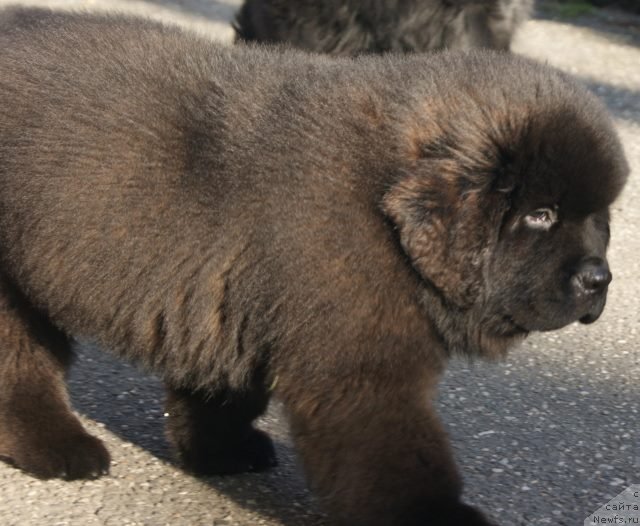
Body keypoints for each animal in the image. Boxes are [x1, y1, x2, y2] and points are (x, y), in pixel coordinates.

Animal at [0, 5, 632, 526]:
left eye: (599, 217)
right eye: (541, 215)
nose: (599, 279)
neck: (385, 213)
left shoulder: (232, 306)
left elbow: (223, 388)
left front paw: (217, 450)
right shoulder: (359, 365)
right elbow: (395, 454)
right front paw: (438, 517)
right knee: (23, 367)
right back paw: (59, 446)